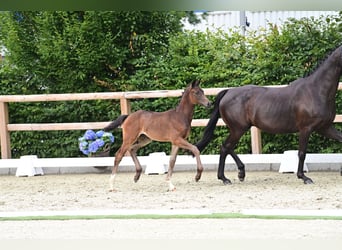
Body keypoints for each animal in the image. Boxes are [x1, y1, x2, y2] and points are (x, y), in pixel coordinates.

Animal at [195, 45, 342, 185]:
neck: (315, 91)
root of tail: (228, 92)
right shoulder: (306, 129)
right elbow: (301, 153)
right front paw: (304, 177)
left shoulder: (324, 127)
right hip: (238, 128)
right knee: (225, 147)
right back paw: (224, 178)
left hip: (239, 129)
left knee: (228, 147)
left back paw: (241, 173)